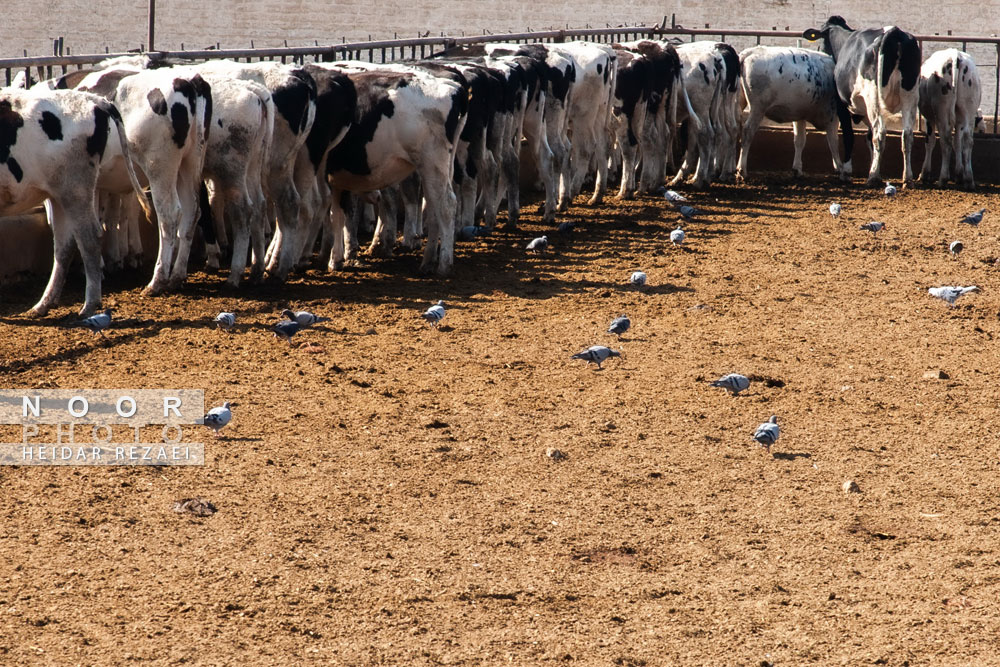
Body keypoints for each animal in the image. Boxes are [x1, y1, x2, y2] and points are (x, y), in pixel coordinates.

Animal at [736, 46, 852, 183]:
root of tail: (749, 52)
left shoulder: (800, 116)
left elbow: (799, 140)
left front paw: (797, 169)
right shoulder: (832, 117)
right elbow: (833, 142)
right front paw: (840, 169)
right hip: (758, 108)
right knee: (747, 132)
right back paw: (742, 170)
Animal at [804, 16, 920, 188]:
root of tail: (894, 32)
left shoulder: (842, 105)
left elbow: (849, 136)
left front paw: (847, 172)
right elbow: (868, 138)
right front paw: (874, 168)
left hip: (874, 98)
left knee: (880, 133)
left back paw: (873, 178)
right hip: (910, 97)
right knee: (907, 136)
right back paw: (907, 178)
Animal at [916, 48, 980, 190]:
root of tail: (956, 56)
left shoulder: (929, 117)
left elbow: (930, 141)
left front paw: (924, 174)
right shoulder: (959, 121)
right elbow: (958, 143)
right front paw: (959, 174)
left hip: (942, 110)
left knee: (946, 141)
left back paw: (943, 178)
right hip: (968, 110)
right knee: (967, 141)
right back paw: (968, 179)